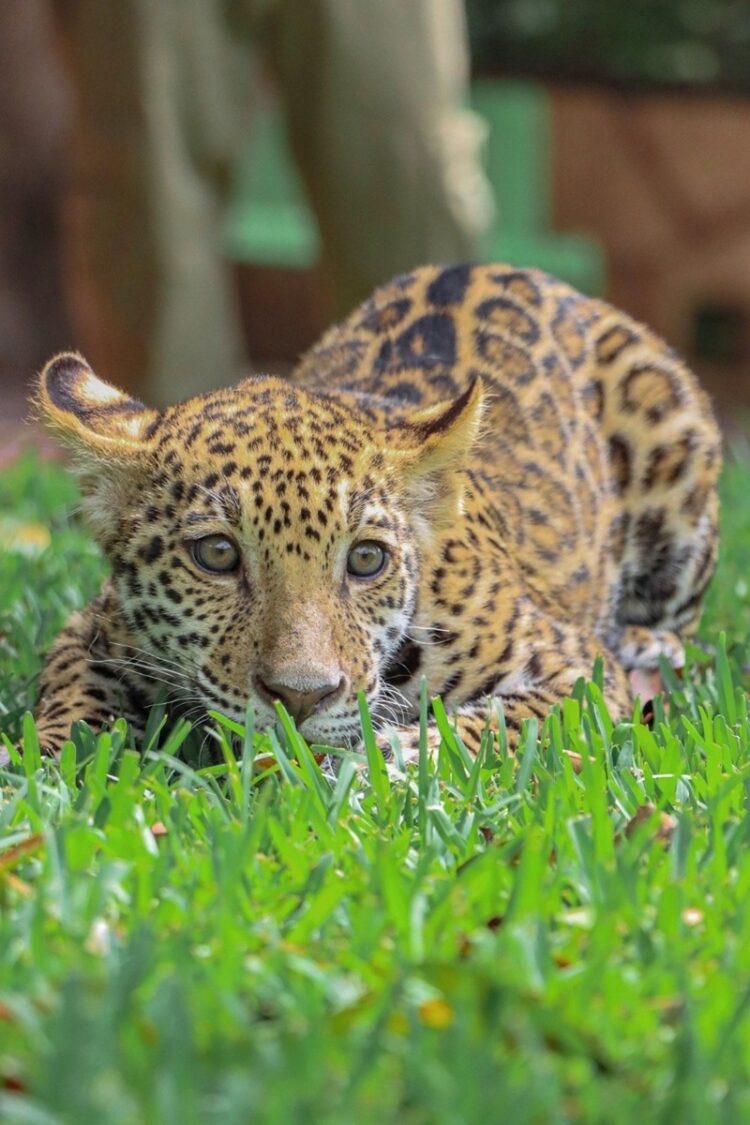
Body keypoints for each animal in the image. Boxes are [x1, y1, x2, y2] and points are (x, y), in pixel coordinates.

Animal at [31, 263, 721, 764]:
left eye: (366, 559)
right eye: (217, 554)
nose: (300, 698)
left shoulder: (575, 672)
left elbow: (486, 727)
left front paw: (380, 759)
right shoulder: (91, 634)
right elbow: (67, 704)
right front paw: (48, 776)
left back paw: (649, 644)